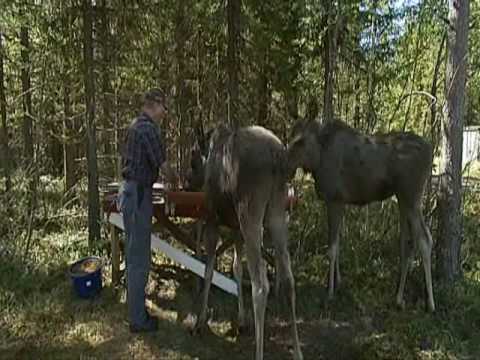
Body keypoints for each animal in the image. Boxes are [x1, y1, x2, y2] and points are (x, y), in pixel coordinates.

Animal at [191, 124, 304, 360]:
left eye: (192, 161)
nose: (188, 180)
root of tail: (277, 156)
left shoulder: (212, 218)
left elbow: (208, 269)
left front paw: (200, 321)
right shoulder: (236, 229)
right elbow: (236, 268)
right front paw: (241, 320)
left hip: (250, 213)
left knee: (261, 285)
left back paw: (259, 352)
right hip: (277, 212)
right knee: (288, 280)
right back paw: (298, 351)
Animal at [286, 118, 436, 312]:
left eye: (300, 141)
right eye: (291, 136)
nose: (284, 164)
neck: (317, 161)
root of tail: (430, 150)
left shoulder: (334, 199)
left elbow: (331, 249)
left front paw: (330, 292)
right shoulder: (341, 202)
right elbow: (338, 243)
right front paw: (339, 282)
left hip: (412, 196)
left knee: (425, 239)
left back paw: (430, 303)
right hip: (403, 199)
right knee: (407, 244)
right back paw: (398, 298)